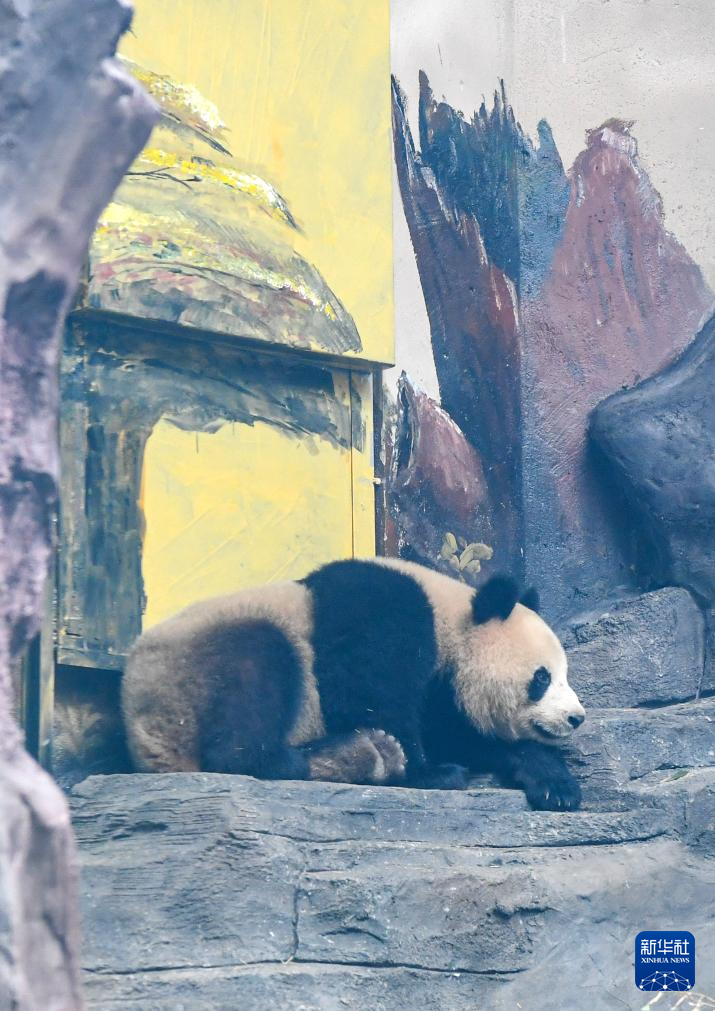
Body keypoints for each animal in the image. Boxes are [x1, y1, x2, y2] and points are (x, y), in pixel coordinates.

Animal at [121, 558, 586, 811]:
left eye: (565, 674)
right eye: (542, 678)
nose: (576, 718)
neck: (452, 620)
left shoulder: (441, 692)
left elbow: (456, 734)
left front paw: (554, 783)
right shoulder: (387, 613)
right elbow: (367, 691)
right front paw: (429, 771)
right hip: (191, 670)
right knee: (256, 668)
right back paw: (311, 758)